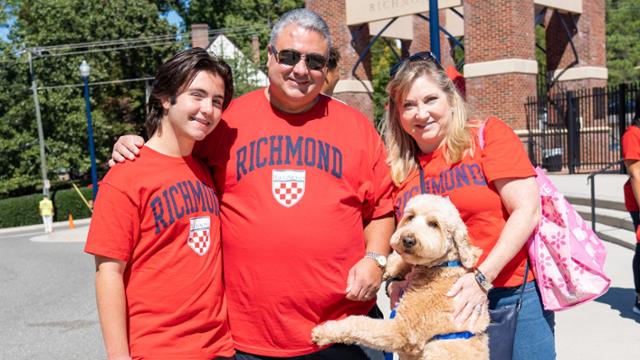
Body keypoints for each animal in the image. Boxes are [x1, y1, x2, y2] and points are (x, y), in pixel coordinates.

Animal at [312, 195, 488, 358]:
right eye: (411, 217)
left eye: (434, 224)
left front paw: (325, 332)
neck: (440, 267)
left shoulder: (402, 330)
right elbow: (401, 261)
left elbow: (359, 322)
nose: (408, 240)